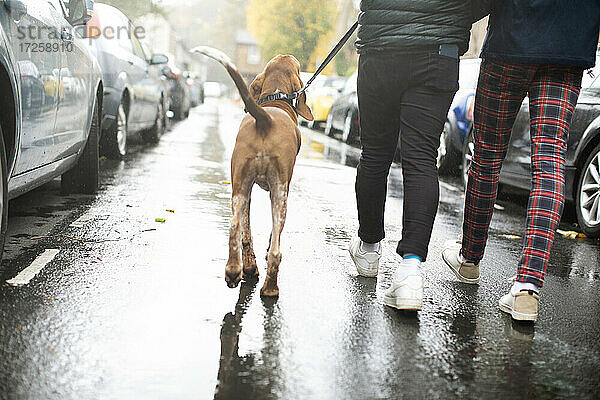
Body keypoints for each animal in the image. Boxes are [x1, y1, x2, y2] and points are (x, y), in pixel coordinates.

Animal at [190, 47, 314, 296]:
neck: (275, 100)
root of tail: (265, 121)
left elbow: (245, 232)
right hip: (279, 194)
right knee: (275, 250)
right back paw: (270, 289)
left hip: (240, 187)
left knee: (235, 227)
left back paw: (236, 271)